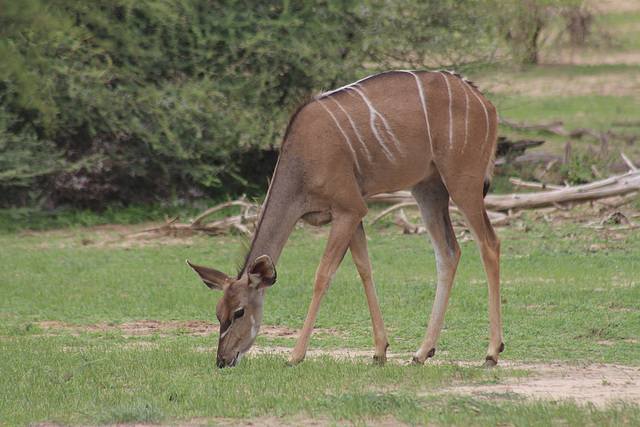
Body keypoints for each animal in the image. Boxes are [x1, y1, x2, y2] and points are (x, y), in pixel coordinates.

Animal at [188, 69, 502, 368]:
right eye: (218, 312)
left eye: (239, 311)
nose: (223, 360)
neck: (303, 160)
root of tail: (485, 103)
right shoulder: (350, 214)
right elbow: (364, 268)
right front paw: (379, 352)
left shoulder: (349, 208)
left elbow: (323, 275)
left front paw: (295, 356)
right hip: (428, 188)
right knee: (448, 253)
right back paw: (422, 353)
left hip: (463, 183)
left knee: (490, 244)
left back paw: (491, 352)